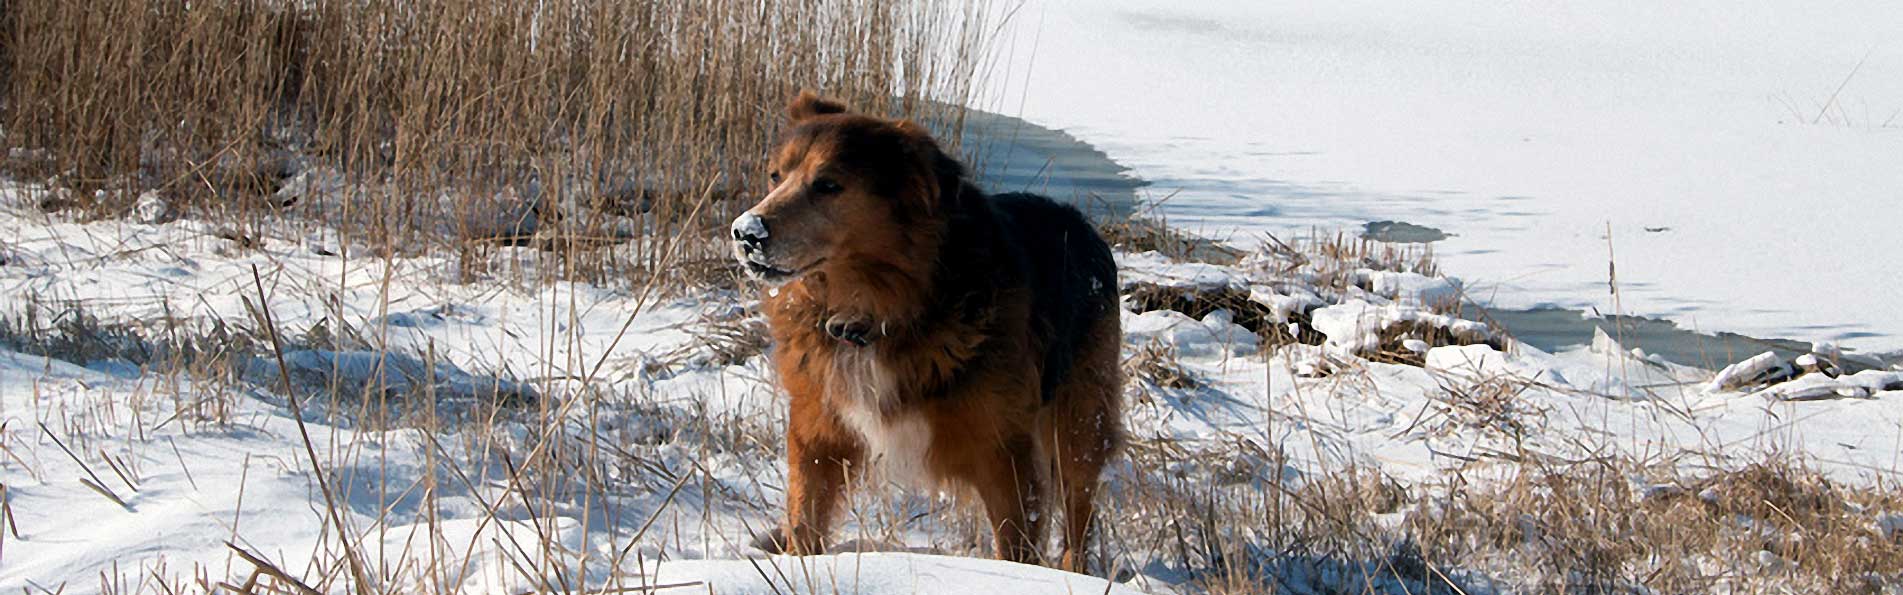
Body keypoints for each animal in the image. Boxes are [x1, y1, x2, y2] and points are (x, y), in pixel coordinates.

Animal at [723, 90, 1111, 566]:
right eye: (775, 176)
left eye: (828, 185)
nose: (746, 232)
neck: (876, 310)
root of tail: (1080, 222)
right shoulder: (817, 434)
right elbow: (804, 521)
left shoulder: (1004, 452)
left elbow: (1016, 546)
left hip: (1080, 423)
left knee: (1079, 509)